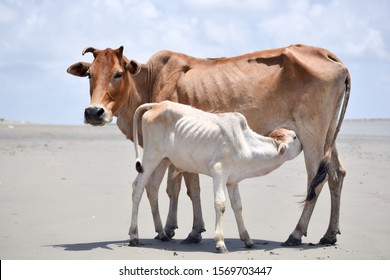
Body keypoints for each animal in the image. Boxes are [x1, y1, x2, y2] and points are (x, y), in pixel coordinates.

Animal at [129, 101, 304, 254]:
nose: (303, 144)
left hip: (164, 160)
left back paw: (162, 233)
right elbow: (220, 204)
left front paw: (248, 240)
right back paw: (134, 236)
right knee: (137, 188)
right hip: (151, 157)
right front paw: (220, 243)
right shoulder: (219, 172)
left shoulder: (233, 181)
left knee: (152, 188)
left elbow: (238, 206)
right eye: (295, 137)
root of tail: (158, 104)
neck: (244, 143)